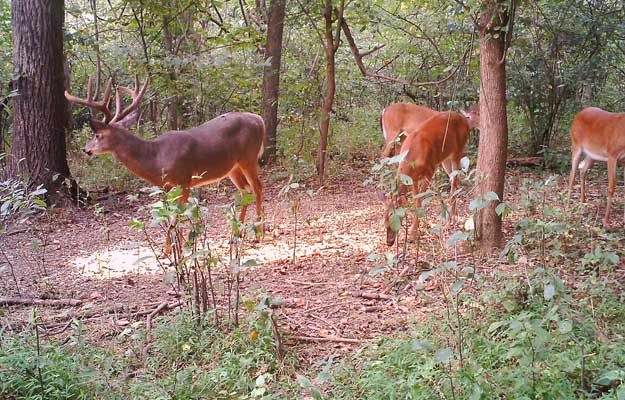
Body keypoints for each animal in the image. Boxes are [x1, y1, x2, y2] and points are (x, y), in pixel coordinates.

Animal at [66, 74, 266, 245]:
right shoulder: (168, 187)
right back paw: (237, 234)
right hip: (232, 167)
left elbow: (177, 218)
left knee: (257, 187)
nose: (86, 149)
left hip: (249, 157)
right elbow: (171, 216)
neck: (157, 157)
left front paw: (173, 254)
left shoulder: (184, 181)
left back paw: (259, 233)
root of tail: (260, 120)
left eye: (97, 135)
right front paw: (174, 250)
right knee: (245, 190)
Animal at [376, 111, 478, 245]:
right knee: (453, 179)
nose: (389, 242)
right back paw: (451, 217)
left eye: (395, 221)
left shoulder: (429, 171)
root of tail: (464, 119)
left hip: (458, 151)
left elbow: (420, 200)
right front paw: (424, 225)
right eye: (385, 222)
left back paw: (452, 220)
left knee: (455, 181)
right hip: (445, 158)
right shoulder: (413, 178)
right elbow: (416, 200)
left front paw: (413, 234)